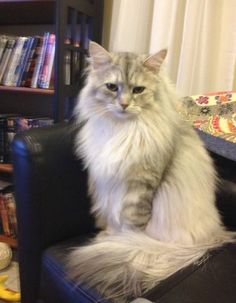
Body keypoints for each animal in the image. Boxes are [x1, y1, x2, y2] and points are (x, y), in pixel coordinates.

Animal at [69, 42, 233, 303]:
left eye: (138, 90)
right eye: (112, 87)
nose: (124, 105)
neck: (122, 129)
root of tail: (212, 237)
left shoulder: (139, 188)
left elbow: (130, 226)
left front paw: (121, 243)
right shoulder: (106, 186)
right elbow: (109, 218)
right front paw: (108, 236)